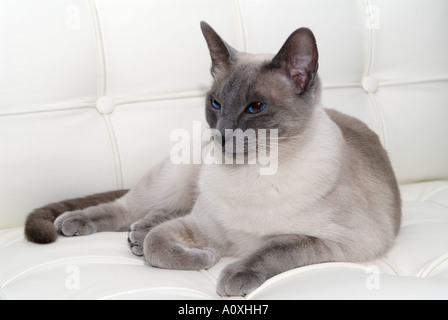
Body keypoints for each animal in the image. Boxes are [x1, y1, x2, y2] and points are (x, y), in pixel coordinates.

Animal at [25, 21, 402, 298]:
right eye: (216, 104)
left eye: (255, 108)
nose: (221, 136)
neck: (252, 172)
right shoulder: (205, 227)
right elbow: (157, 244)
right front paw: (205, 259)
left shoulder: (343, 241)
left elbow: (275, 248)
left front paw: (232, 276)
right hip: (175, 177)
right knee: (127, 208)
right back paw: (85, 224)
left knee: (155, 215)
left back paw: (135, 235)